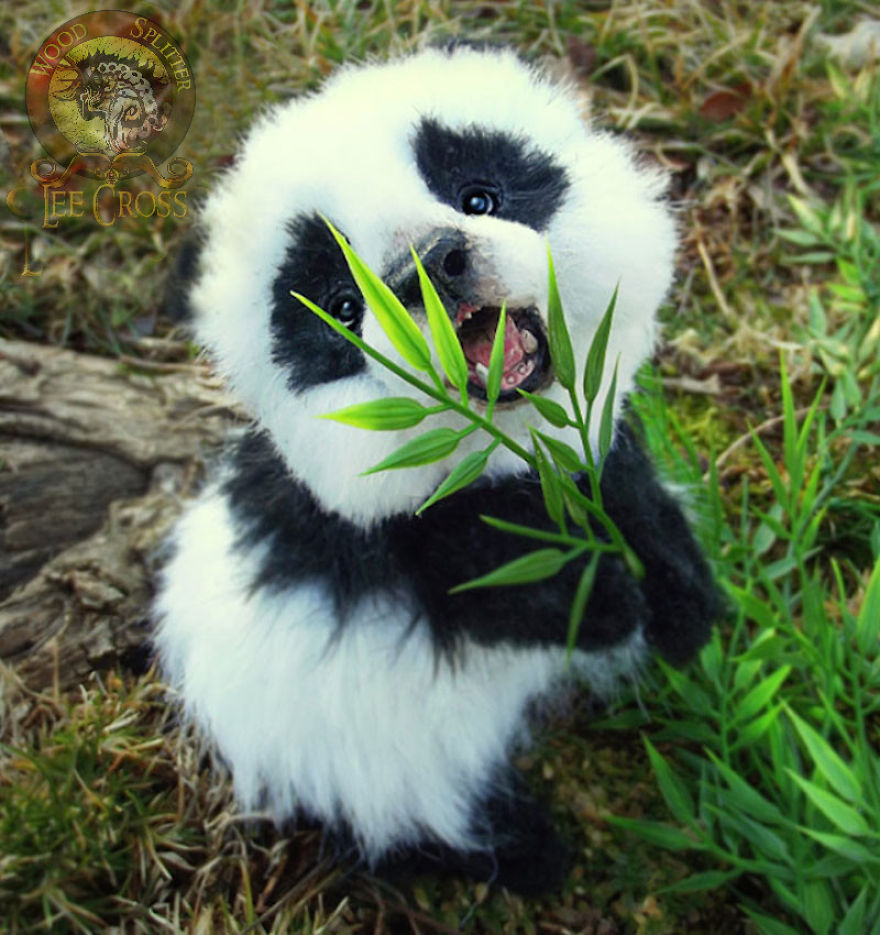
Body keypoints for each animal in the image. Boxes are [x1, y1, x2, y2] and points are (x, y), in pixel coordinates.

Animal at [154, 43, 721, 895]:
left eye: (478, 195)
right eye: (342, 306)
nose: (432, 265)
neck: (504, 446)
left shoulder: (594, 445)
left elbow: (636, 503)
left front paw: (684, 609)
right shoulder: (410, 531)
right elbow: (498, 587)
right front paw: (609, 600)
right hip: (342, 750)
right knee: (424, 816)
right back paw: (523, 852)